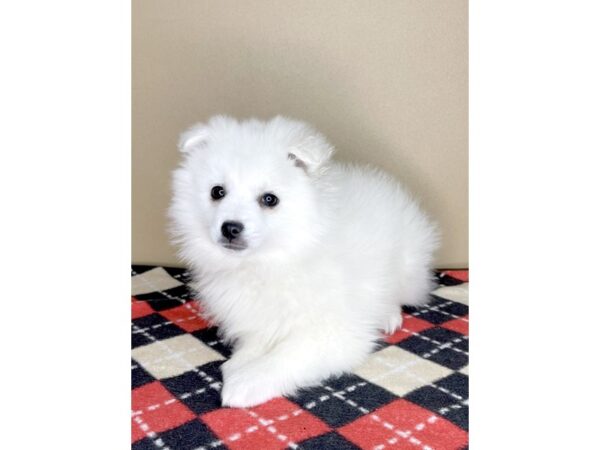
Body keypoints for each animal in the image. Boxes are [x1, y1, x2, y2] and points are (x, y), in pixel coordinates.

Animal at [170, 115, 440, 408]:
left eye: (269, 199)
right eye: (217, 192)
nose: (230, 227)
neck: (272, 260)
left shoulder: (332, 332)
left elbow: (286, 356)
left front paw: (246, 382)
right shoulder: (256, 316)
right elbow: (257, 341)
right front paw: (240, 363)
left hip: (408, 265)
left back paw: (389, 315)